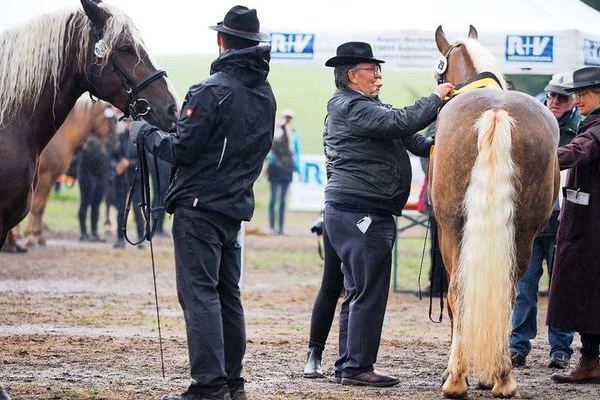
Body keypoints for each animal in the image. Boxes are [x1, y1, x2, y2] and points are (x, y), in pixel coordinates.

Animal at [24, 98, 117, 245]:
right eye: (112, 121)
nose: (114, 143)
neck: (62, 135)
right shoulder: (45, 177)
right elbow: (37, 206)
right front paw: (31, 236)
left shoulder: (50, 179)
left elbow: (41, 207)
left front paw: (38, 236)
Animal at [428, 26, 560, 398]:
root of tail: (497, 113)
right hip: (524, 233)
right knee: (506, 294)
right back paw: (501, 377)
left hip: (452, 228)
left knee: (458, 292)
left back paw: (458, 379)